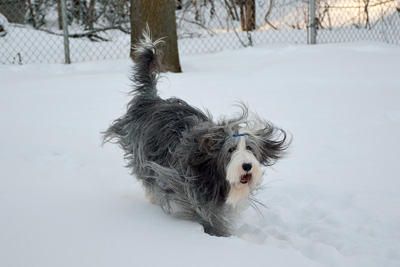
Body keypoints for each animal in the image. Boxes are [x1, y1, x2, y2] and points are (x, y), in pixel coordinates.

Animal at [103, 31, 288, 237]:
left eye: (249, 148)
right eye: (231, 150)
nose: (247, 166)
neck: (212, 169)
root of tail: (151, 101)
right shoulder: (186, 186)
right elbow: (204, 213)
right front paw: (216, 233)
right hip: (143, 156)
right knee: (149, 181)